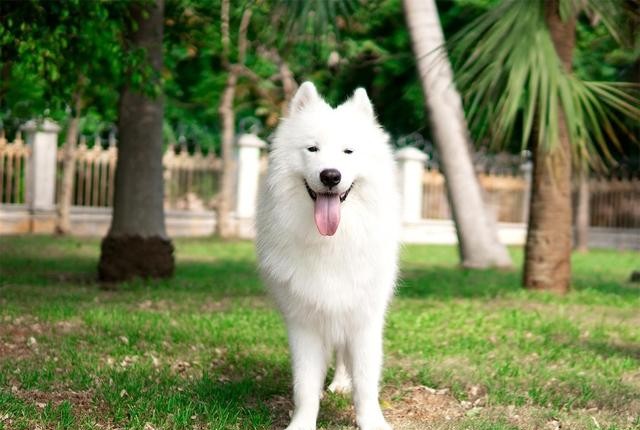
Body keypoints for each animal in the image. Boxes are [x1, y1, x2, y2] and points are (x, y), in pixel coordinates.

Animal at [256, 81, 400, 430]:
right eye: (312, 150)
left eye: (348, 151)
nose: (330, 175)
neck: (333, 240)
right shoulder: (304, 323)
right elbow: (305, 386)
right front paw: (301, 424)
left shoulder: (363, 319)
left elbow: (366, 382)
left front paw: (372, 422)